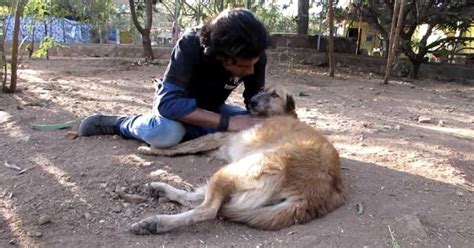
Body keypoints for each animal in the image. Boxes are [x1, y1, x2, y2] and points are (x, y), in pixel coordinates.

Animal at [130, 84, 344, 233]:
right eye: (262, 89)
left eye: (275, 95)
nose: (252, 101)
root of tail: (312, 196)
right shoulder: (221, 148)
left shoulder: (219, 137)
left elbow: (182, 146)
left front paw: (151, 150)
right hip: (235, 176)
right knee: (200, 199)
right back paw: (160, 190)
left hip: (234, 171)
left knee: (207, 210)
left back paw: (156, 223)